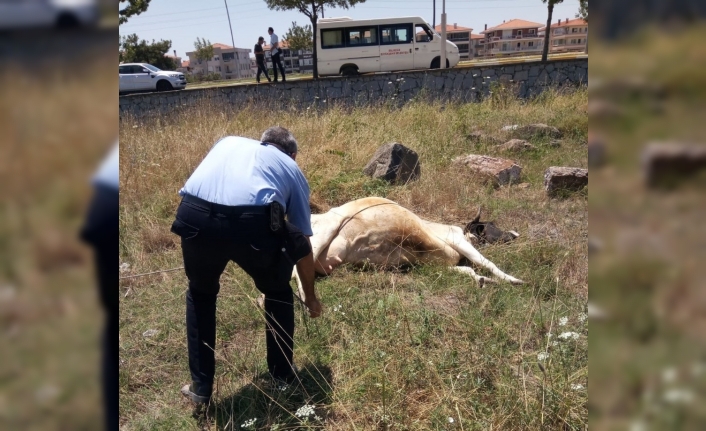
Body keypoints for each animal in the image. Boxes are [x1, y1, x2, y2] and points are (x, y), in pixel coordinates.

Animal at [292, 197, 524, 298]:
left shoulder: (434, 264)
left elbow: (467, 269)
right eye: (490, 225)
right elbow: (485, 262)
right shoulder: (458, 240)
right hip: (324, 231)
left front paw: (484, 280)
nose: (515, 233)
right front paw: (513, 280)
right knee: (298, 274)